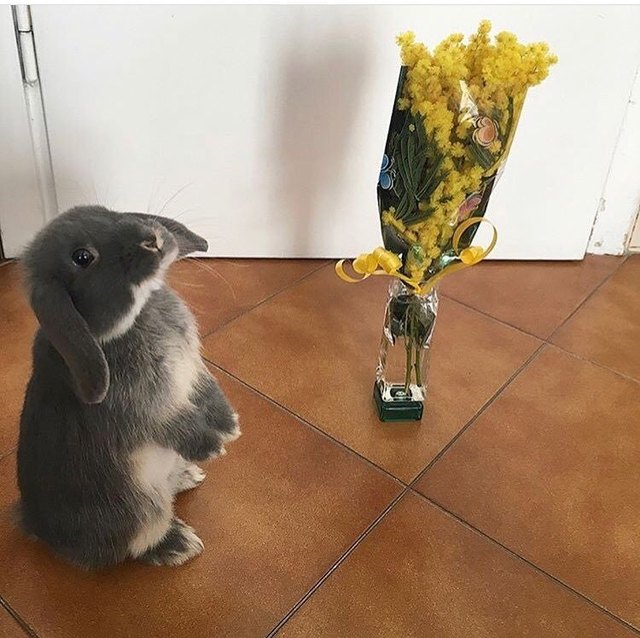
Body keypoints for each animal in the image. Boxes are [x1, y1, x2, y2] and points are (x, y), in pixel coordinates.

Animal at [16, 205, 241, 569]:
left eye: (106, 211)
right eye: (82, 257)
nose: (152, 238)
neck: (138, 316)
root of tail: (38, 528)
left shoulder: (192, 371)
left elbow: (207, 391)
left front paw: (230, 425)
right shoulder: (145, 409)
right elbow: (175, 425)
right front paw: (211, 447)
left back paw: (187, 476)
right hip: (139, 512)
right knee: (135, 546)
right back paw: (178, 544)